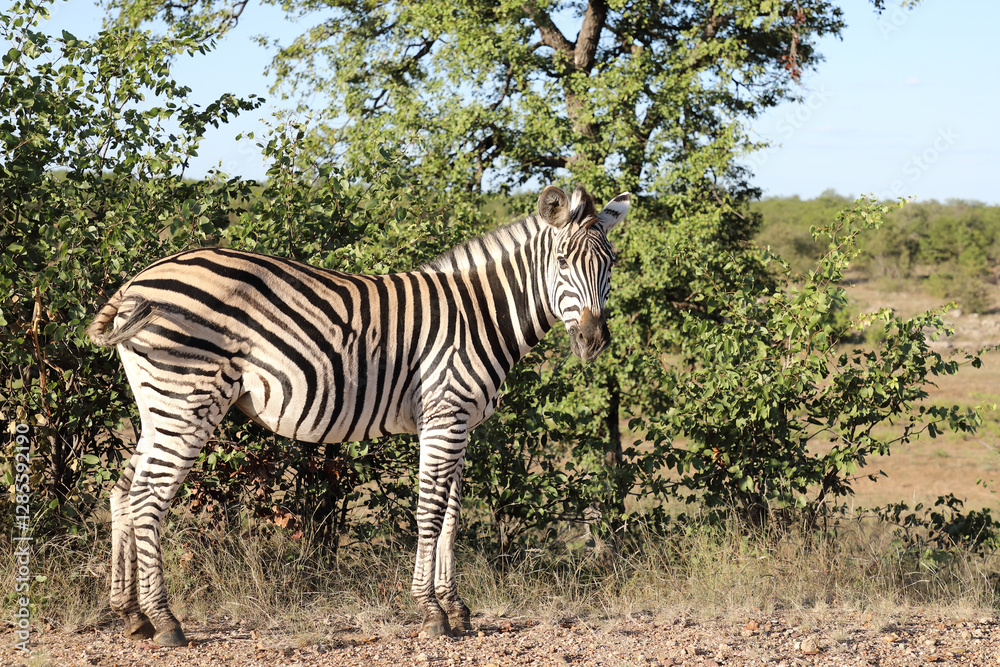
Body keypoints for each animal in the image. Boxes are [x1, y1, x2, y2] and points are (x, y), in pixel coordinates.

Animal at [87, 184, 630, 646]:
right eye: (562, 261)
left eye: (610, 264)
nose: (593, 341)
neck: (480, 315)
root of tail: (135, 282)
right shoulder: (444, 414)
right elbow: (430, 511)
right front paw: (431, 612)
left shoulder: (461, 423)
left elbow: (452, 514)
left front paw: (456, 609)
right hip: (187, 400)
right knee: (147, 499)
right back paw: (166, 621)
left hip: (159, 405)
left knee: (122, 492)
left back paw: (131, 615)